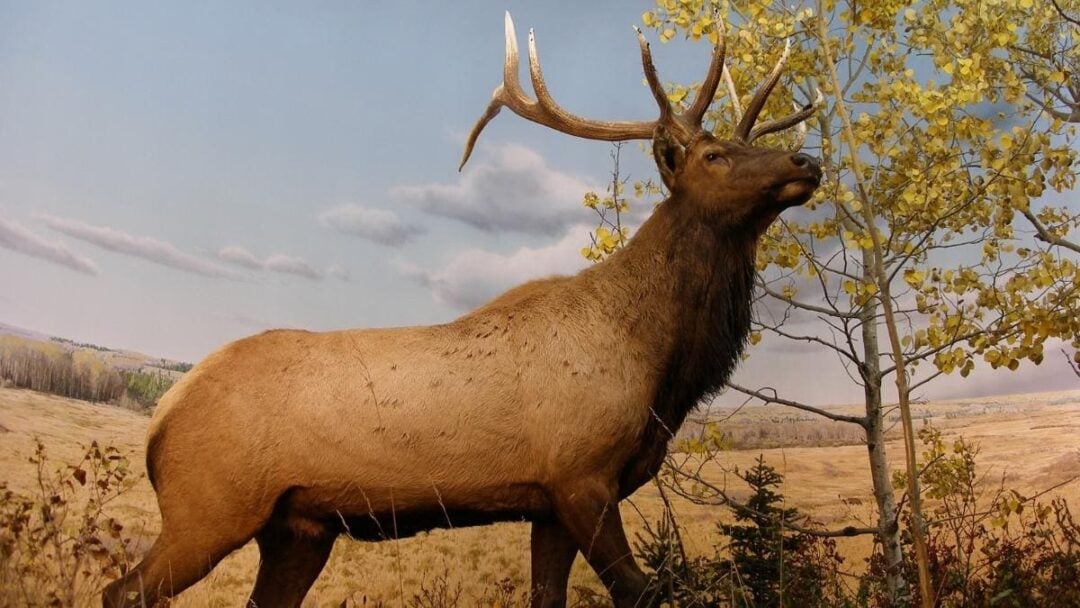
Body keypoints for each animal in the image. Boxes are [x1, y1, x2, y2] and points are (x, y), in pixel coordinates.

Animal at [103, 12, 821, 608]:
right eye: (714, 155)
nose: (805, 160)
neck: (657, 370)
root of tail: (163, 415)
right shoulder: (580, 474)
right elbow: (639, 592)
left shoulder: (549, 503)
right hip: (209, 507)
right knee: (121, 591)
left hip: (297, 528)